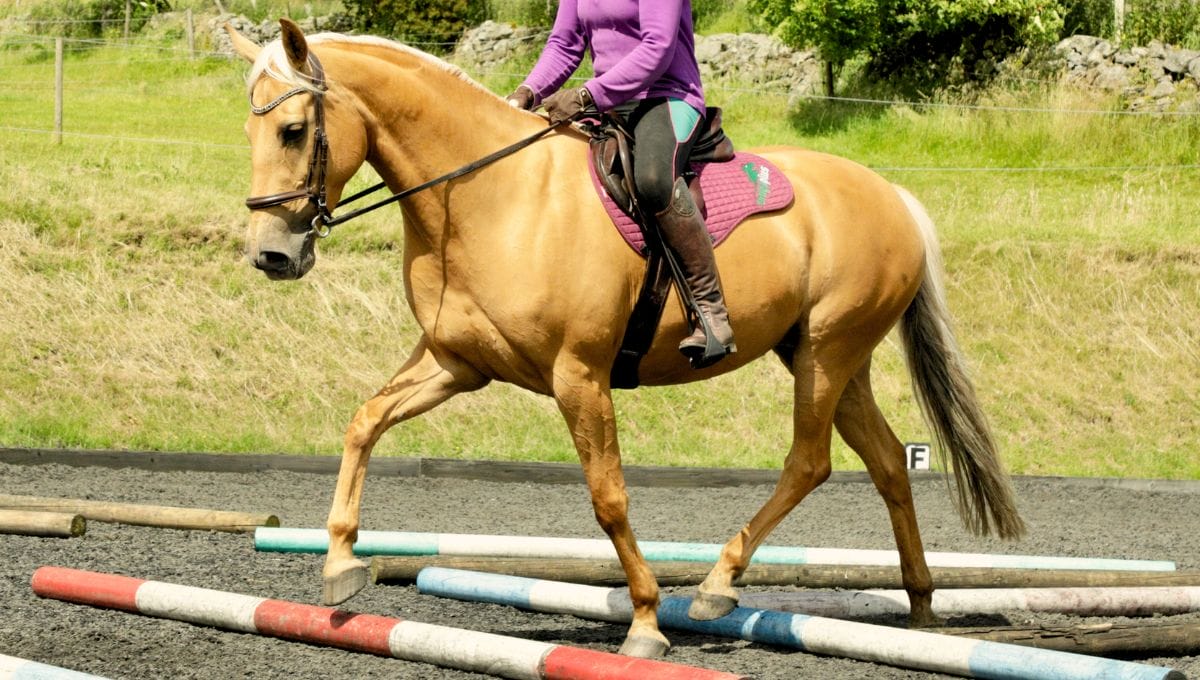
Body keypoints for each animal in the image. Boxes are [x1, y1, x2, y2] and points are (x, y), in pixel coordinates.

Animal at [226, 19, 1025, 658]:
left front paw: (644, 621)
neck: (488, 200)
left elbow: (608, 497)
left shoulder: (578, 376)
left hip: (827, 352)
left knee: (810, 461)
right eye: (250, 134)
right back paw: (919, 607)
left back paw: (717, 585)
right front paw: (340, 565)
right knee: (887, 461)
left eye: (293, 131)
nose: (271, 256)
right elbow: (364, 422)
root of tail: (892, 195)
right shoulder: (456, 363)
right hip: (824, 353)